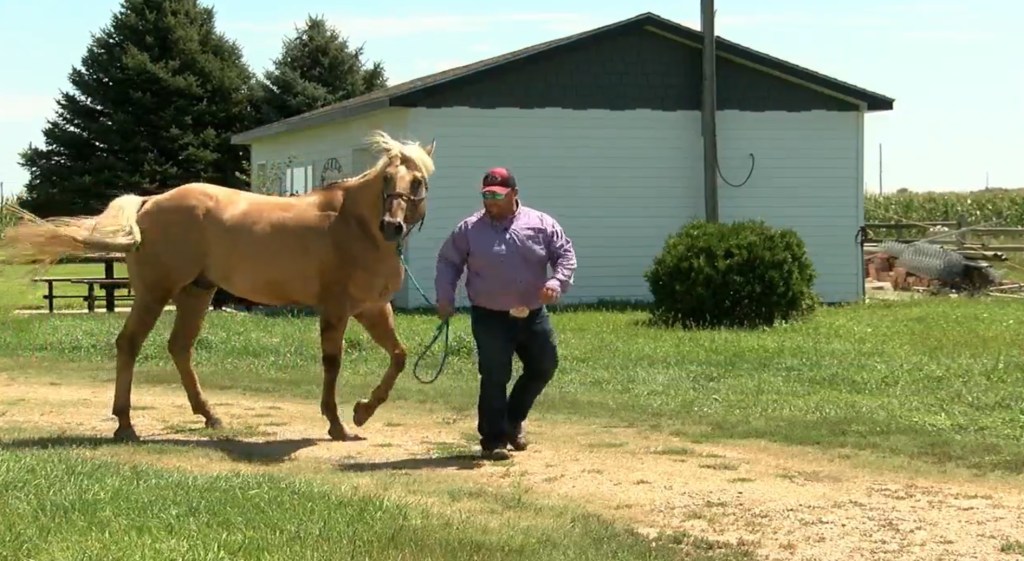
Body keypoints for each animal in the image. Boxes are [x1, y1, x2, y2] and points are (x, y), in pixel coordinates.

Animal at [0, 129, 436, 440]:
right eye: (387, 179)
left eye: (416, 182)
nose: (392, 226)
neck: (353, 225)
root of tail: (147, 203)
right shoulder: (336, 309)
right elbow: (333, 363)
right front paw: (338, 423)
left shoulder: (372, 308)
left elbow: (399, 356)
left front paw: (362, 412)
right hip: (156, 294)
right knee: (130, 345)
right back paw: (126, 425)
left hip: (196, 293)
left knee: (179, 347)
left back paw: (210, 415)